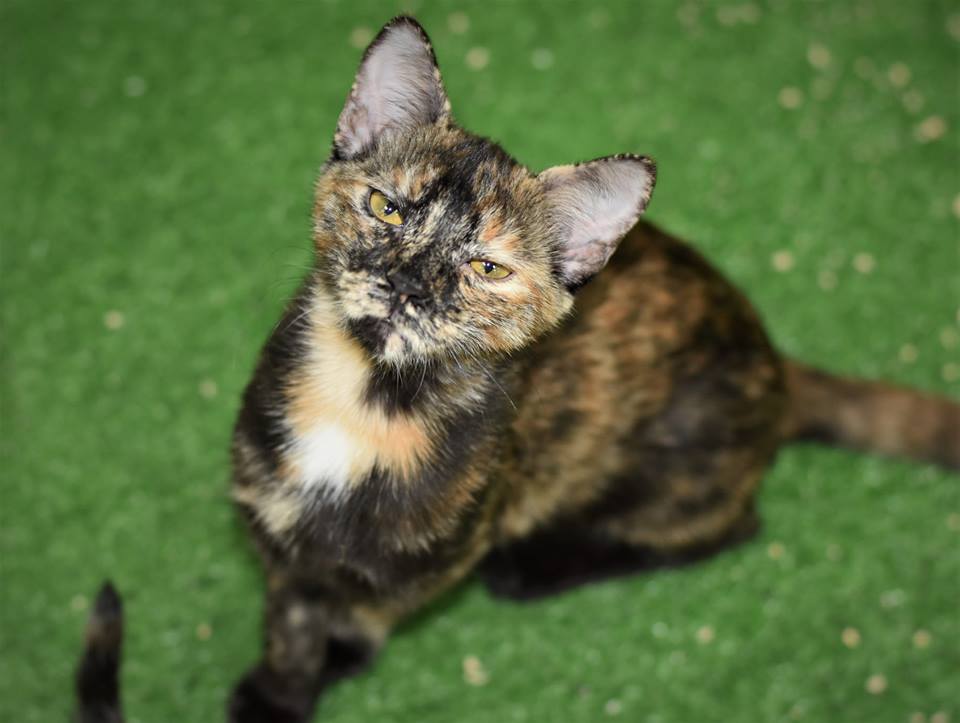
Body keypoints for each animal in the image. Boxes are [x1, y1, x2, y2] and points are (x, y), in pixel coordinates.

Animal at [74, 15, 959, 723]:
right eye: (387, 206)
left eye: (487, 269)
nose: (409, 283)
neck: (367, 400)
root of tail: (774, 358)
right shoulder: (275, 528)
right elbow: (288, 611)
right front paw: (283, 675)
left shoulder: (426, 563)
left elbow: (359, 611)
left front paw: (312, 676)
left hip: (670, 470)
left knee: (726, 527)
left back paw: (535, 566)